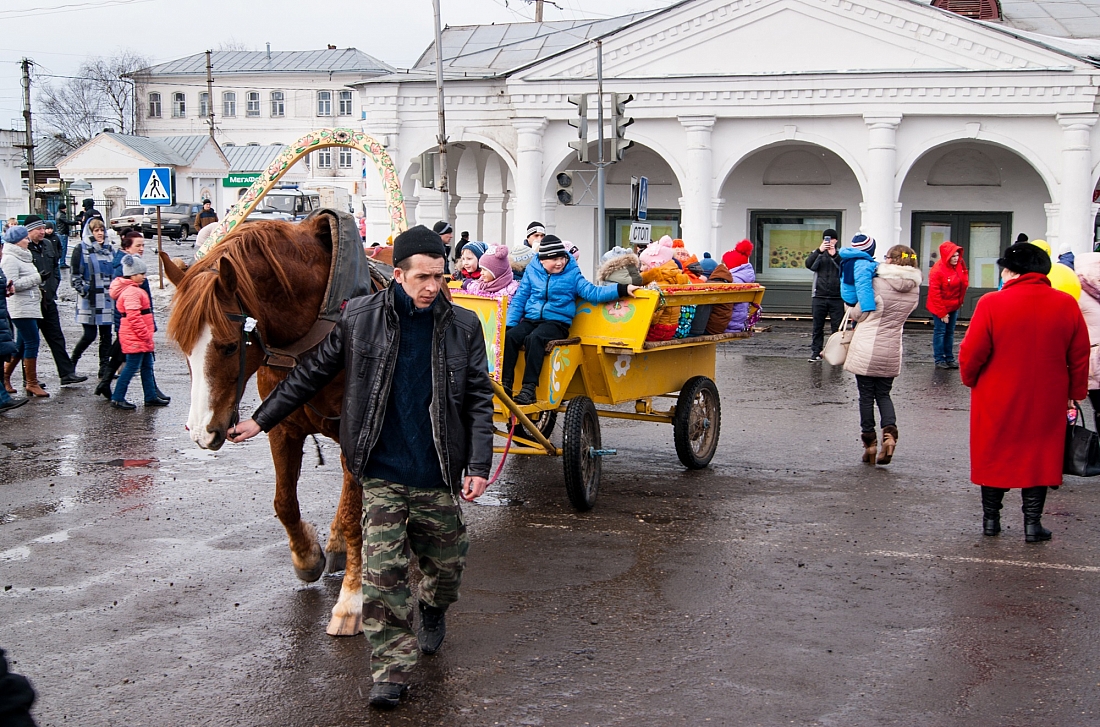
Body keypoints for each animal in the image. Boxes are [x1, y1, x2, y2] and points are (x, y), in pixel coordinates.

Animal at [161, 216, 365, 633]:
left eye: (228, 345)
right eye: (184, 348)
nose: (202, 432)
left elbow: (355, 514)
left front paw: (351, 600)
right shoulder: (282, 427)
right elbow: (284, 503)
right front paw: (308, 556)